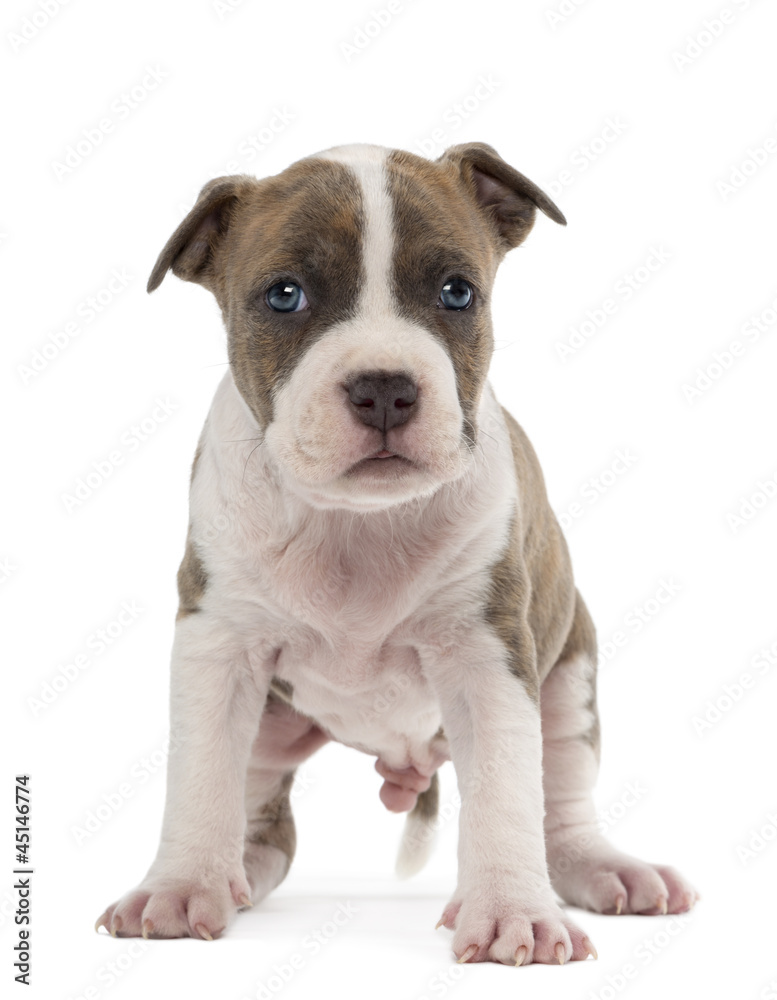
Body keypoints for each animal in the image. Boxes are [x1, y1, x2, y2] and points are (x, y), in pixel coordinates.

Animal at [94, 141, 696, 960]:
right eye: (284, 296)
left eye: (456, 292)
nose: (383, 387)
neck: (357, 523)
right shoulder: (217, 642)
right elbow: (201, 774)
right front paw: (182, 887)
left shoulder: (486, 654)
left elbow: (506, 788)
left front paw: (511, 910)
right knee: (263, 821)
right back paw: (233, 874)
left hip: (569, 669)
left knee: (561, 795)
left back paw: (607, 870)